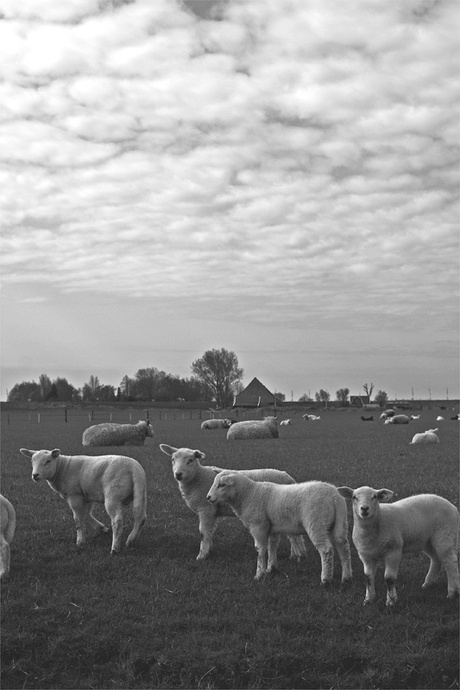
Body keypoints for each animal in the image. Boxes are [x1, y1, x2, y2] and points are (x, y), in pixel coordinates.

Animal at [18, 446, 146, 552]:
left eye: (48, 461)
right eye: (32, 461)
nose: (35, 475)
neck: (62, 468)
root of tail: (134, 468)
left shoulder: (74, 496)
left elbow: (78, 519)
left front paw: (80, 541)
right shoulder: (86, 495)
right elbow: (86, 513)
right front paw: (101, 528)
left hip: (113, 495)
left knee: (117, 520)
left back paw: (115, 548)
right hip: (140, 493)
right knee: (140, 516)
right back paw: (131, 540)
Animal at [157, 444, 306, 560]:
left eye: (190, 460)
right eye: (172, 459)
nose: (178, 474)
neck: (198, 478)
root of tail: (290, 478)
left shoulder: (206, 509)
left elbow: (203, 532)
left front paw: (202, 555)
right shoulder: (211, 512)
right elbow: (209, 532)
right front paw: (209, 549)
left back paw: (296, 556)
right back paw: (294, 555)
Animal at [206, 470, 352, 584]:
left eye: (221, 485)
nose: (208, 497)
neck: (248, 495)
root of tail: (334, 496)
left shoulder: (258, 526)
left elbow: (260, 549)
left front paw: (259, 574)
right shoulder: (272, 528)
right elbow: (272, 546)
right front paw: (271, 568)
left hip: (316, 523)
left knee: (326, 550)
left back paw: (325, 579)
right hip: (340, 522)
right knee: (343, 547)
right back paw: (346, 578)